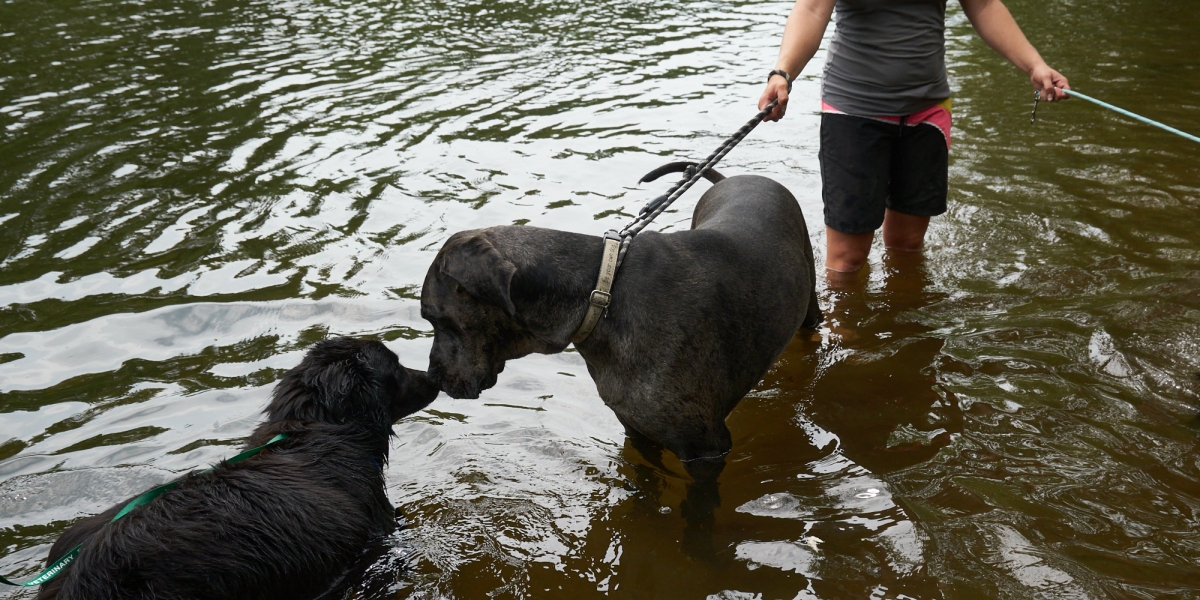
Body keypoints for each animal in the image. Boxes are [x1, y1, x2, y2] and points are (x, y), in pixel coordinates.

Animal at [417, 165, 820, 482]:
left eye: (436, 318)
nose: (432, 377)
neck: (601, 297)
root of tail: (734, 176)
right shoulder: (637, 432)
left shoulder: (706, 450)